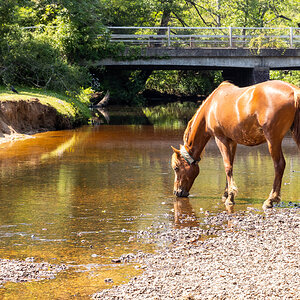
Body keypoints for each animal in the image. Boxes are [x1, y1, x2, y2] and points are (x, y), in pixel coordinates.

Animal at [171, 79, 300, 209]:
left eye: (176, 168)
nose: (177, 192)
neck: (210, 107)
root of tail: (294, 91)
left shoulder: (220, 139)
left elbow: (227, 166)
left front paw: (230, 197)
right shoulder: (232, 142)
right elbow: (230, 165)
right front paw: (227, 193)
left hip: (273, 140)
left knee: (279, 165)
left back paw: (270, 199)